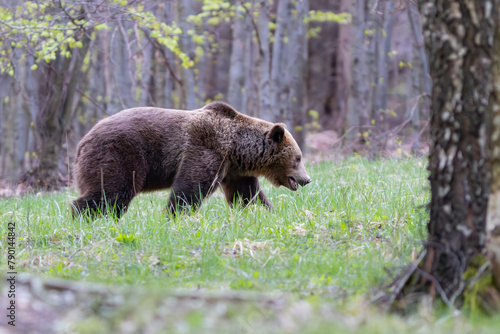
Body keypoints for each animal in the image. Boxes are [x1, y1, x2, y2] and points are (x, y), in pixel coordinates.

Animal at [72, 100, 310, 218]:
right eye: (298, 158)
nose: (307, 179)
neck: (237, 148)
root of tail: (82, 142)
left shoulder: (234, 170)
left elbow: (247, 194)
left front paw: (264, 212)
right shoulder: (207, 148)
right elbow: (191, 186)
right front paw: (174, 215)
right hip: (119, 153)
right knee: (112, 191)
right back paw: (85, 216)